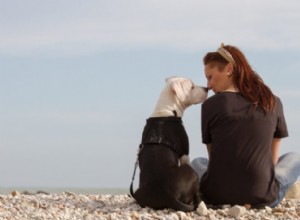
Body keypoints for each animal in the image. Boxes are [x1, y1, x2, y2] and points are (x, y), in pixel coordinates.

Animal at [130, 76, 207, 211]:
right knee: (195, 196)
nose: (207, 88)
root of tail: (168, 195)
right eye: (192, 87)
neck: (168, 110)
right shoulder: (185, 154)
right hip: (190, 171)